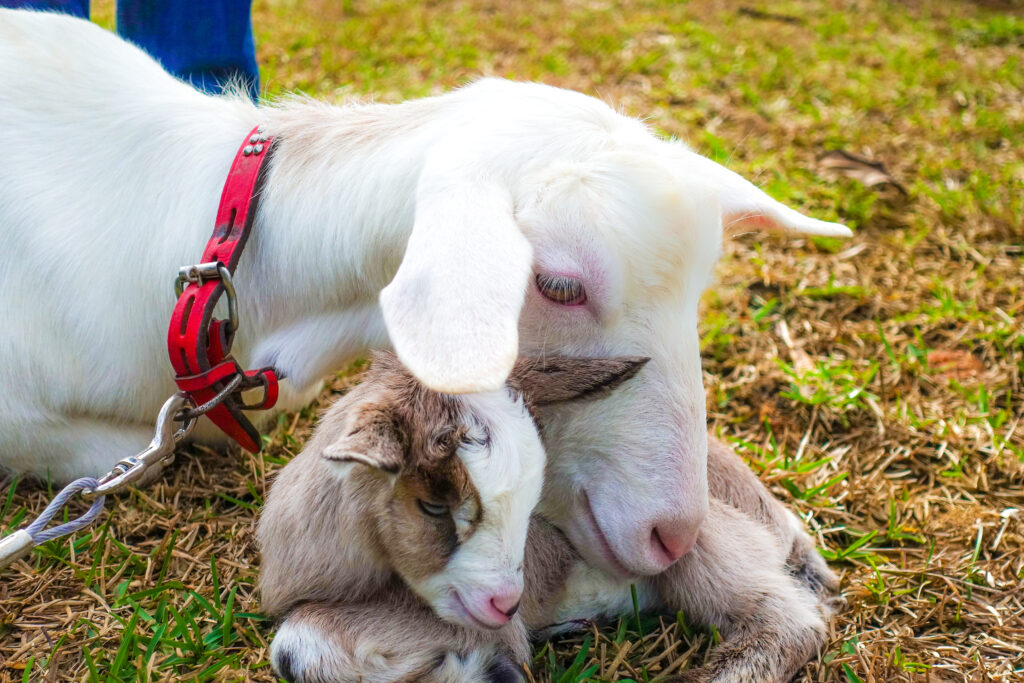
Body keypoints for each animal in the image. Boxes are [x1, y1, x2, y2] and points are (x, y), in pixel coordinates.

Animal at [258, 358, 839, 683]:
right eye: (433, 505)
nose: (505, 602)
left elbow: (294, 642)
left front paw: (490, 671)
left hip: (692, 538)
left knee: (790, 623)